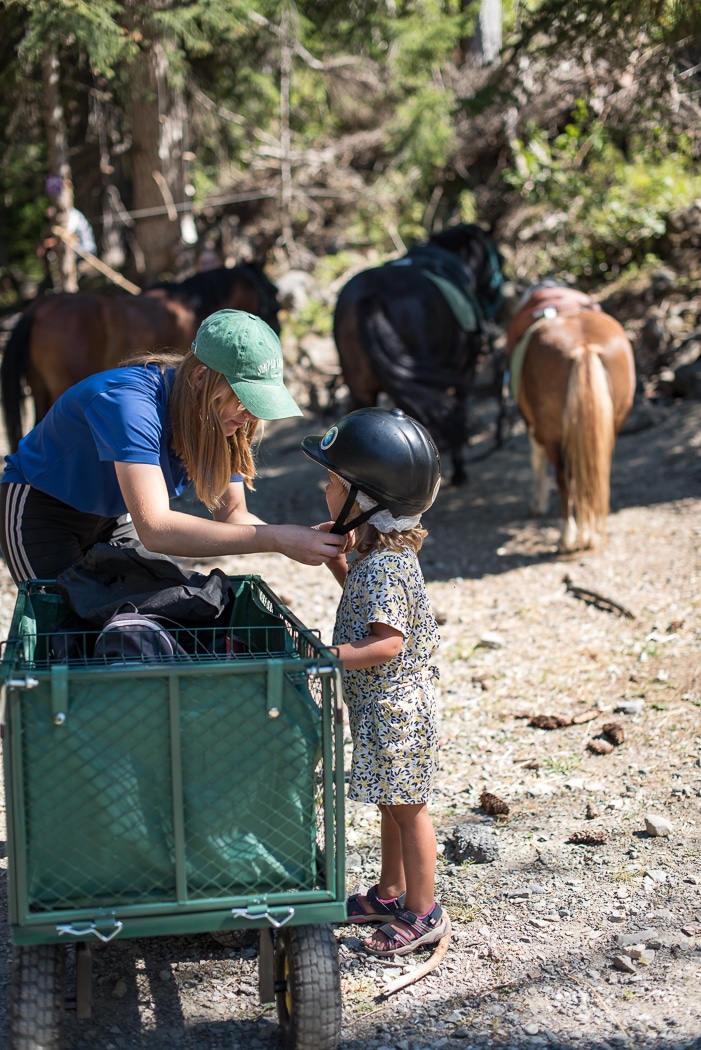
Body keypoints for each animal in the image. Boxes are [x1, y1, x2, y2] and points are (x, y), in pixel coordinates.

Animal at [333, 223, 503, 485]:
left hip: (362, 389)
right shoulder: (466, 369)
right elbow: (458, 410)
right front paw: (459, 470)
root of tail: (370, 296)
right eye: (500, 259)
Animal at [505, 283, 638, 554]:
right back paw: (591, 531)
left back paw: (568, 536)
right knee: (596, 473)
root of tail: (584, 346)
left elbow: (536, 460)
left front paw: (538, 503)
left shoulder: (534, 426)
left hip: (554, 434)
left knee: (565, 478)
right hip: (611, 425)